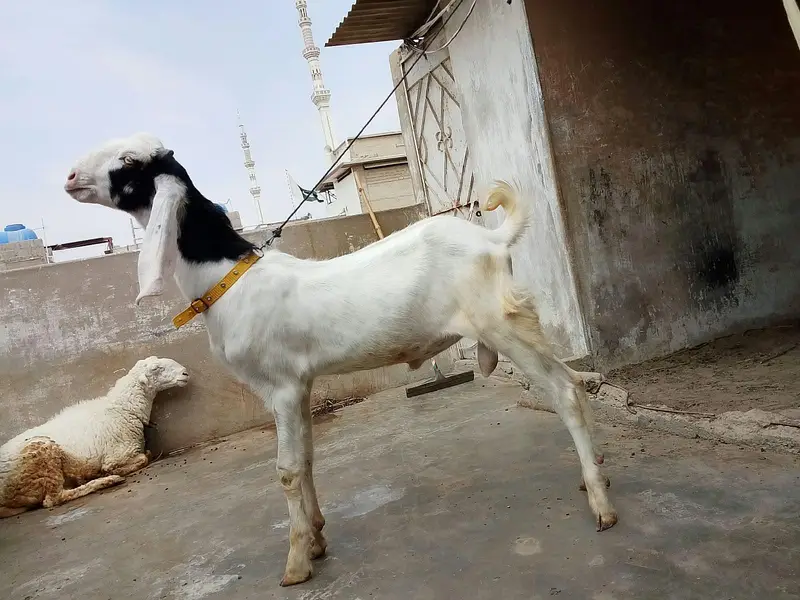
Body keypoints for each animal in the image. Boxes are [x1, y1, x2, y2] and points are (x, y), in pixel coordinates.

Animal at [0, 356, 189, 517]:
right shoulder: (118, 455)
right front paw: (112, 472)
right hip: (42, 457)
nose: (185, 373)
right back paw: (107, 480)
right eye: (157, 368)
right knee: (54, 499)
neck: (122, 408)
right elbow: (141, 458)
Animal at [63, 133, 617, 586]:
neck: (227, 277)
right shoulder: (301, 385)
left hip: (502, 323)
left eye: (128, 161)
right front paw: (317, 537)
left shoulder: (281, 386)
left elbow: (287, 468)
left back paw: (601, 505)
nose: (69, 177)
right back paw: (594, 474)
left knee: (566, 390)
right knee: (571, 380)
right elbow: (307, 458)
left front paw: (295, 564)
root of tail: (494, 239)